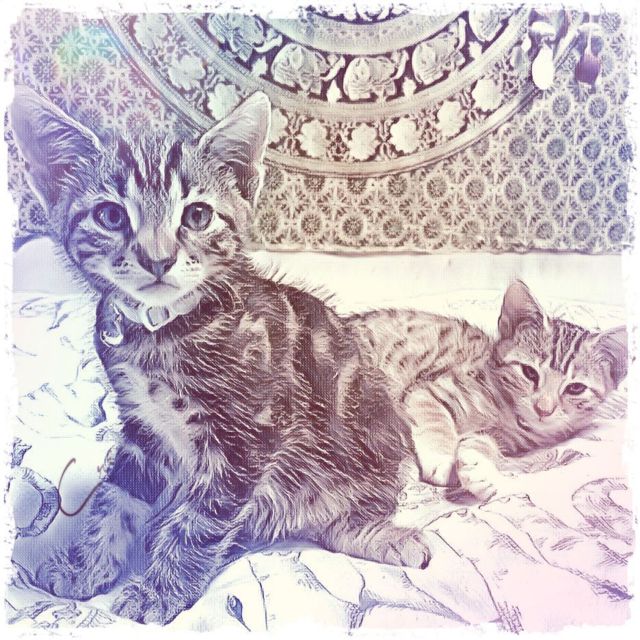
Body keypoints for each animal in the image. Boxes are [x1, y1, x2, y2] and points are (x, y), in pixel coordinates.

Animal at [9, 86, 430, 625]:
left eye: (197, 215)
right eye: (110, 216)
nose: (158, 259)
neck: (162, 333)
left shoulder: (250, 435)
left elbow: (200, 520)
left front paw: (158, 591)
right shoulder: (142, 429)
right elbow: (115, 496)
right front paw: (87, 566)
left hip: (363, 454)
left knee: (341, 518)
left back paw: (386, 537)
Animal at [350, 281, 628, 501]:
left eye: (576, 388)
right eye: (529, 373)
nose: (543, 409)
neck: (509, 416)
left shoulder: (510, 440)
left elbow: (484, 443)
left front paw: (480, 468)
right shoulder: (429, 389)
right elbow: (435, 418)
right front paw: (443, 459)